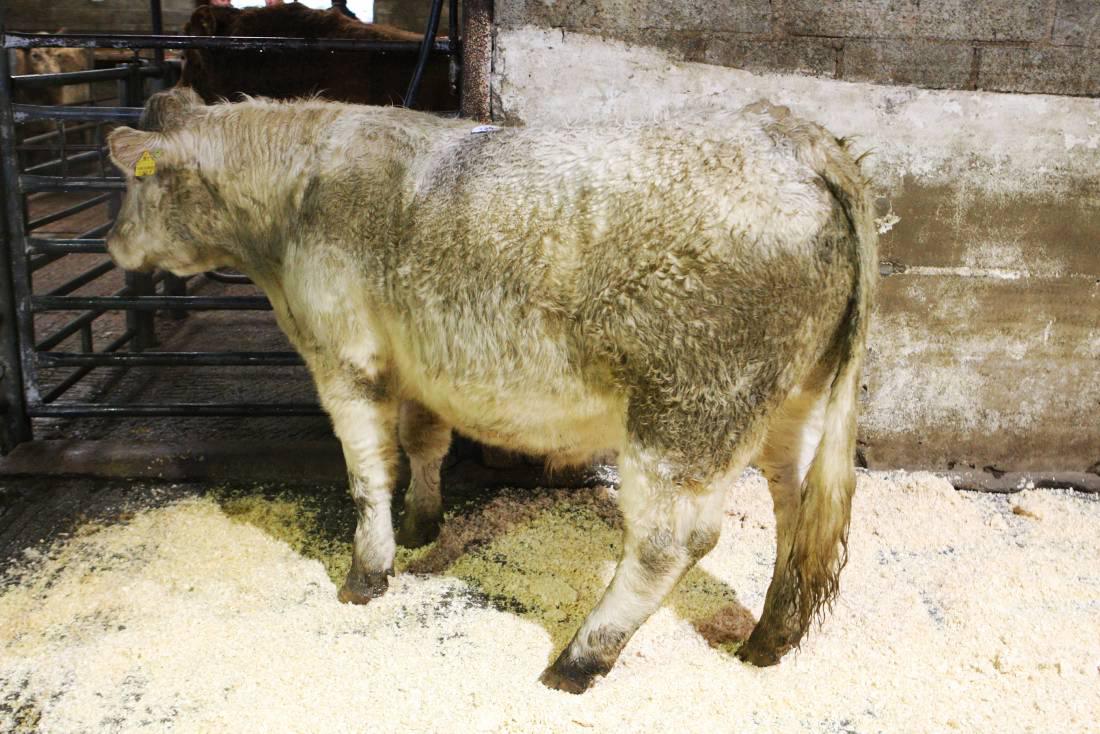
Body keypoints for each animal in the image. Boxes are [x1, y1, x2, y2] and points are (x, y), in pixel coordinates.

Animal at [105, 87, 876, 693]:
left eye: (134, 184)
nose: (111, 244)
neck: (293, 201)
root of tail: (793, 135)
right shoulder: (417, 365)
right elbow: (422, 443)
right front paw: (423, 524)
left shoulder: (344, 357)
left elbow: (367, 473)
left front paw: (368, 572)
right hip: (791, 402)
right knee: (795, 508)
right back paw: (768, 640)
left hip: (687, 414)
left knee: (671, 542)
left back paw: (579, 659)